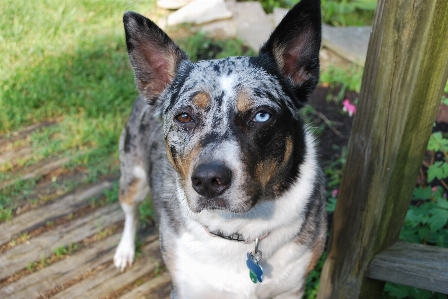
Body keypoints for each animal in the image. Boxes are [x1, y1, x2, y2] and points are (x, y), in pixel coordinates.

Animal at [114, 0, 328, 298]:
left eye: (261, 115)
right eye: (184, 117)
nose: (208, 180)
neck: (239, 229)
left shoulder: (291, 290)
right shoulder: (187, 290)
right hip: (133, 178)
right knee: (130, 212)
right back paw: (124, 251)